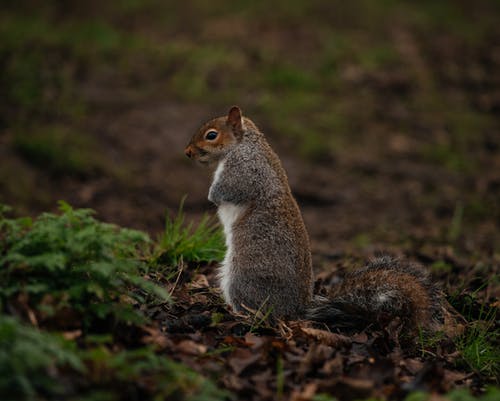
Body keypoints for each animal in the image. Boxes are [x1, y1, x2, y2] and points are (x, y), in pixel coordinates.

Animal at [186, 106, 458, 334]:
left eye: (211, 135)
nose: (187, 152)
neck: (246, 143)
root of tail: (295, 311)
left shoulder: (243, 171)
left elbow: (223, 192)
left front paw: (210, 193)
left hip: (242, 276)